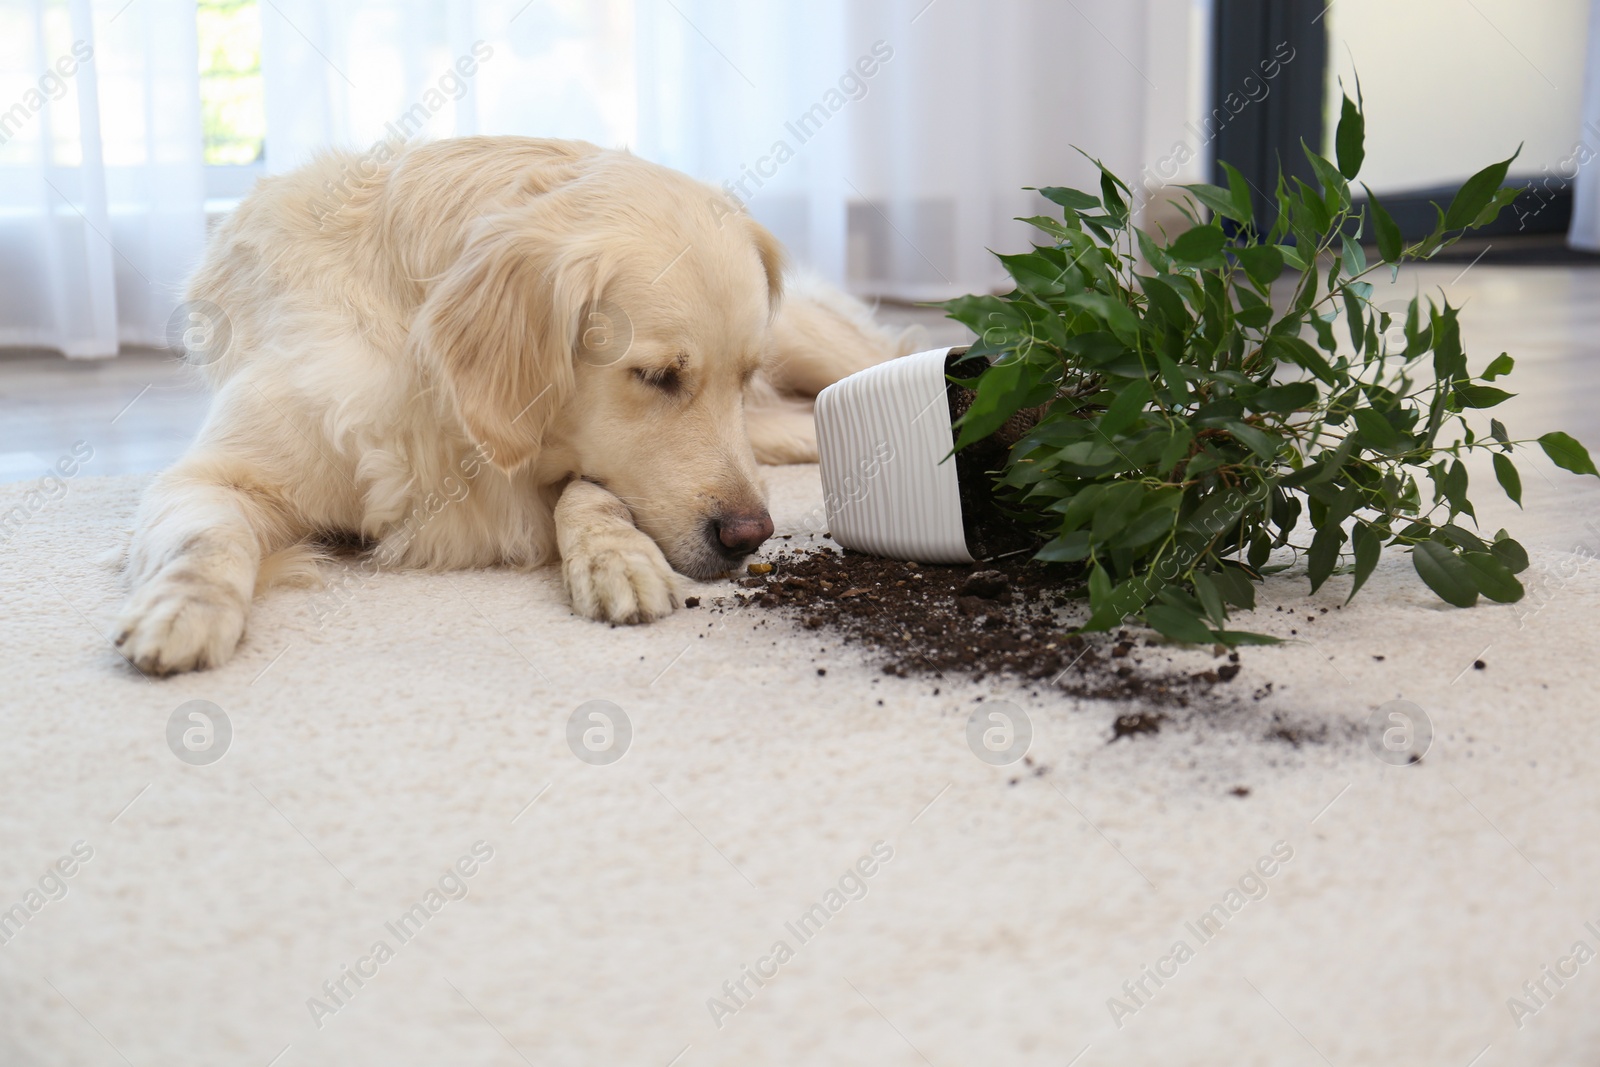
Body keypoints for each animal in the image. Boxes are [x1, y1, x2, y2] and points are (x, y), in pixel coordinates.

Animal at [118, 135, 921, 675]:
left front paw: (614, 556)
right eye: (657, 375)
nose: (750, 536)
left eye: (741, 374)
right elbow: (204, 538)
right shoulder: (215, 473)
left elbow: (591, 493)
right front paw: (183, 609)